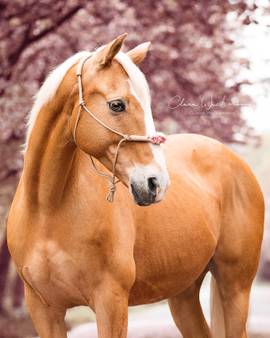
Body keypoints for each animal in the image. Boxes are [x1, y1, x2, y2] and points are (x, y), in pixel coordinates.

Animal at [6, 35, 264, 338]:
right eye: (117, 104)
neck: (47, 210)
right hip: (184, 294)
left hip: (235, 287)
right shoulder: (44, 310)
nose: (156, 183)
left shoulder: (111, 302)